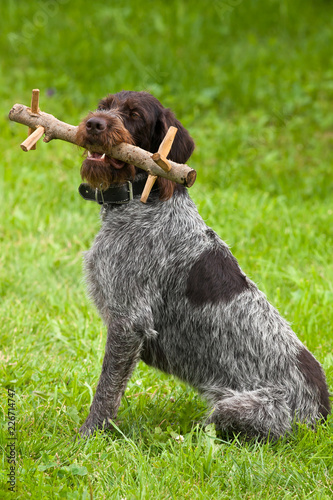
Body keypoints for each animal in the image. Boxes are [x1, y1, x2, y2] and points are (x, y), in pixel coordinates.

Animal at [76, 92, 330, 440]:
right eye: (104, 105)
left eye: (135, 115)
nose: (93, 124)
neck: (143, 201)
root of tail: (321, 416)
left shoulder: (129, 323)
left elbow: (107, 389)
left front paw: (89, 434)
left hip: (243, 407)